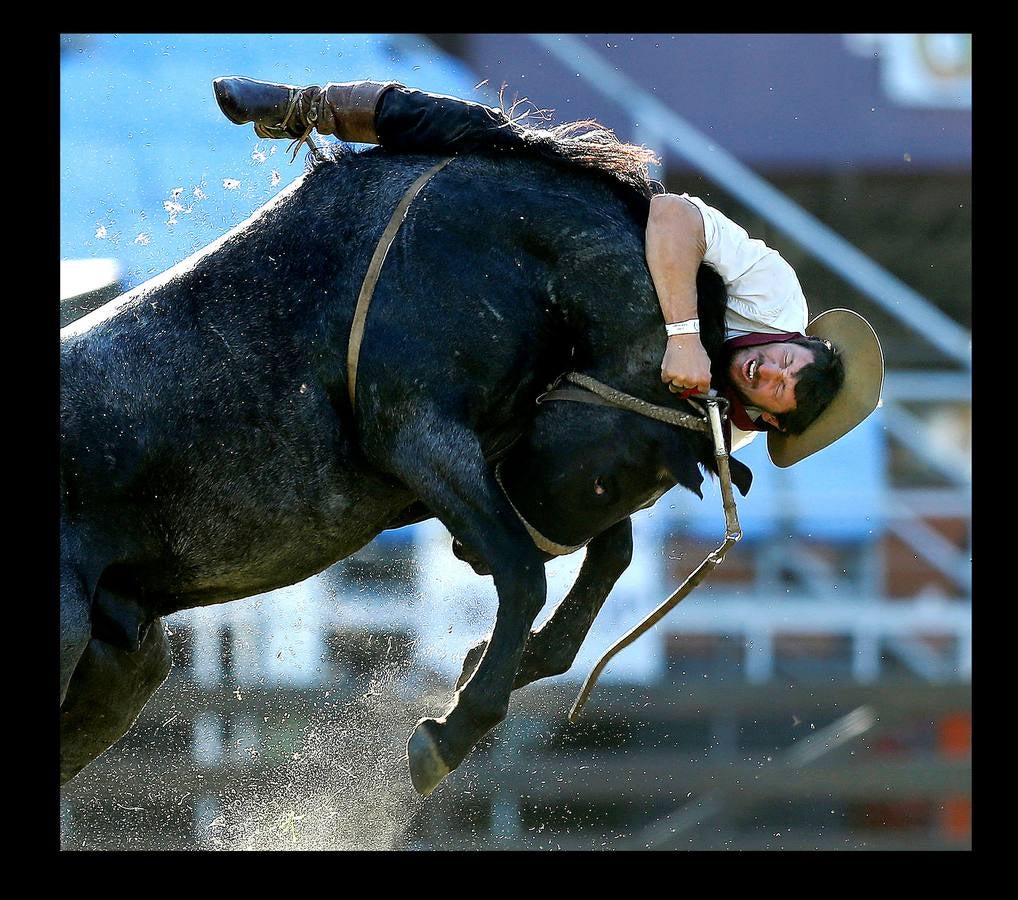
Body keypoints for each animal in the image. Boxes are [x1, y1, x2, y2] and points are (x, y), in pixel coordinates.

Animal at [59, 133, 753, 794]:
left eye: (635, 490)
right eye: (604, 484)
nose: (467, 556)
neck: (507, 252)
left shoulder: (490, 451)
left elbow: (611, 554)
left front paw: (512, 661)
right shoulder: (422, 439)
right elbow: (526, 572)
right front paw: (456, 726)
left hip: (121, 665)